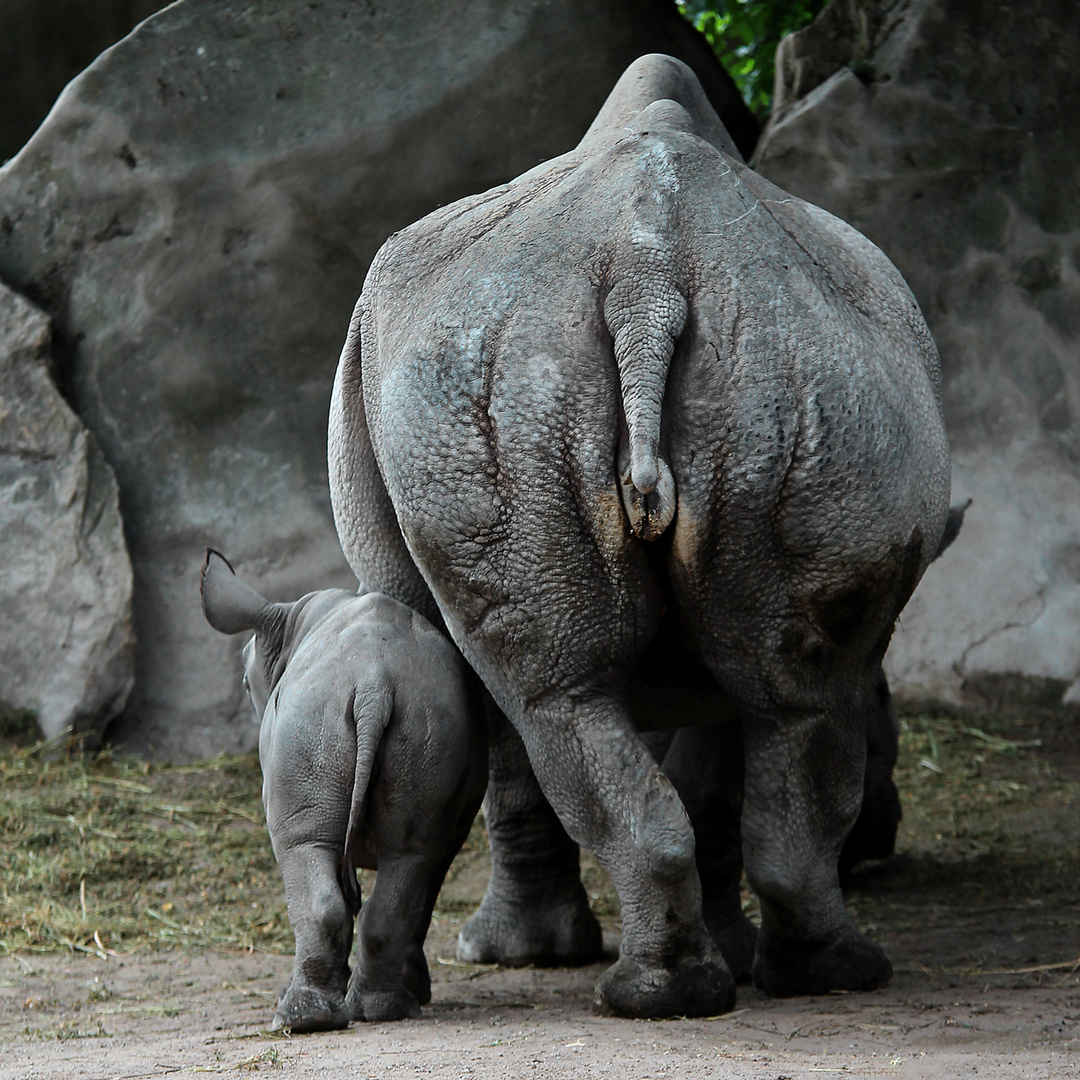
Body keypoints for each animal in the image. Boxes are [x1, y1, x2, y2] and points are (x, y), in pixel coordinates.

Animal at [200, 552, 488, 1032]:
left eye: (244, 683)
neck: (292, 621)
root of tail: (374, 684)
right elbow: (424, 887)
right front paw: (414, 985)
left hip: (310, 716)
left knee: (302, 847)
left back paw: (299, 1019)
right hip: (423, 720)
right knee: (410, 856)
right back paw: (385, 1010)